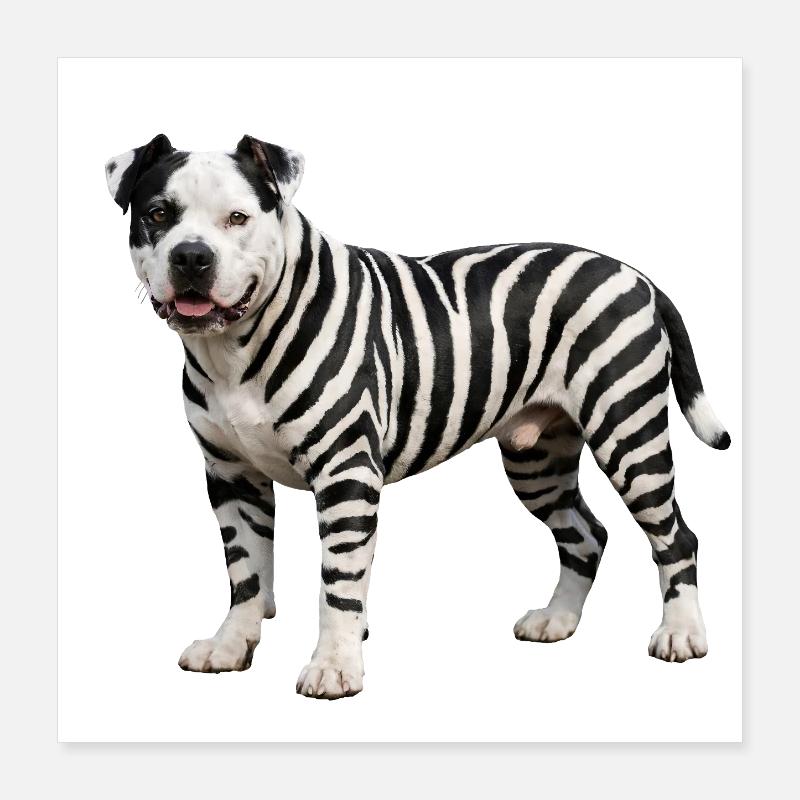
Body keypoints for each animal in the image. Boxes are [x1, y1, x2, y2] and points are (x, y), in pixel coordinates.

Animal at [105, 134, 731, 700]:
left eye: (238, 217)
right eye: (158, 213)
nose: (191, 256)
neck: (238, 349)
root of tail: (634, 275)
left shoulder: (346, 476)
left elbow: (338, 584)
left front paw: (335, 666)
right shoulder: (232, 477)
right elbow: (247, 574)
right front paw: (232, 646)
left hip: (628, 436)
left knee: (676, 538)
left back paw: (681, 633)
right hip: (537, 461)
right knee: (586, 535)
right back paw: (557, 620)